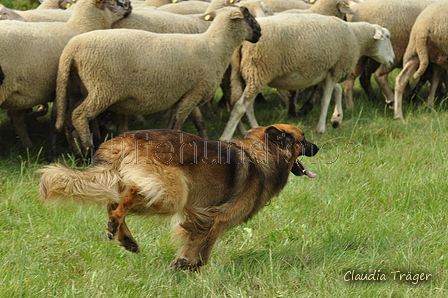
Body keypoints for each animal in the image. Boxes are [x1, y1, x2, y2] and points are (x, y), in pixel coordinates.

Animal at [38, 123, 318, 270]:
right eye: (303, 140)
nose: (318, 146)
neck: (262, 154)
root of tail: (125, 139)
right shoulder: (219, 218)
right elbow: (205, 247)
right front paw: (194, 268)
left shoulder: (200, 217)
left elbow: (194, 240)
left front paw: (182, 263)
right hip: (172, 193)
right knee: (129, 195)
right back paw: (118, 226)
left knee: (112, 201)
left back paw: (123, 236)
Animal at [54, 6, 260, 151]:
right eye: (249, 16)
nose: (260, 32)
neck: (214, 46)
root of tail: (71, 48)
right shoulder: (193, 93)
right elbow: (178, 123)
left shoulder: (182, 94)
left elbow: (173, 125)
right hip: (102, 88)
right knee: (80, 115)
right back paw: (88, 148)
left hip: (78, 88)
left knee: (70, 120)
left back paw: (79, 151)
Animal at [219, 12, 394, 141]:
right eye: (387, 37)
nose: (392, 60)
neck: (356, 37)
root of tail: (243, 41)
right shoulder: (335, 70)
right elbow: (325, 100)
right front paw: (321, 128)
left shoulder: (328, 72)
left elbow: (337, 90)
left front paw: (336, 119)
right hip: (259, 70)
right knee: (240, 105)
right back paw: (225, 136)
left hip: (245, 74)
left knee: (246, 106)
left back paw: (255, 130)